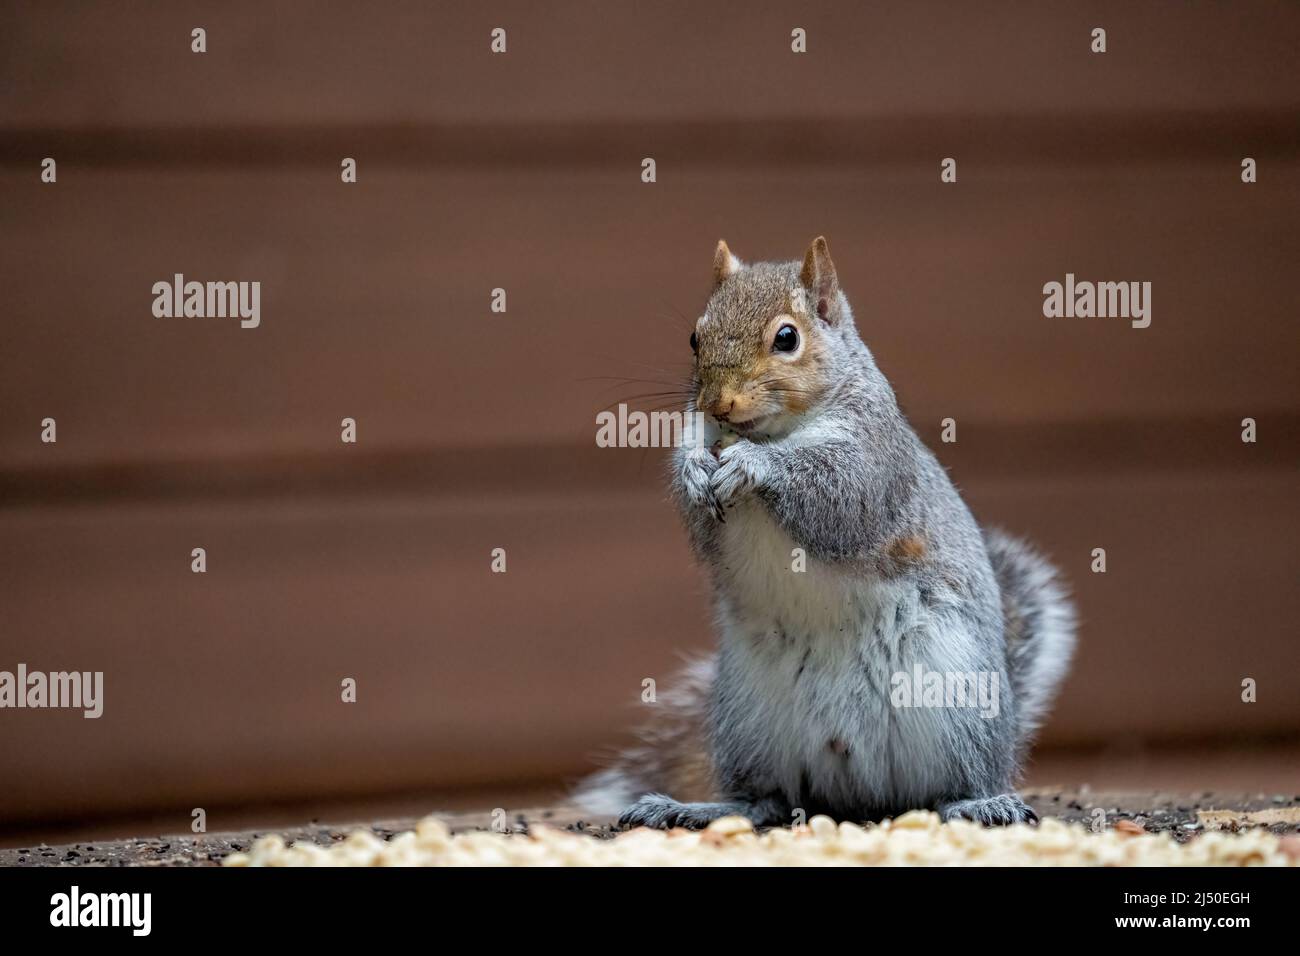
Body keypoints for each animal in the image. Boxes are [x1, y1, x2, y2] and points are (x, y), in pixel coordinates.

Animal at [576, 236, 1076, 828]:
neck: (775, 430)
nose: (717, 405)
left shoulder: (873, 455)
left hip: (958, 700)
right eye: (695, 337)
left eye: (787, 338)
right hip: (747, 717)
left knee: (953, 782)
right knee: (765, 797)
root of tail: (859, 788)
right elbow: (701, 512)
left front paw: (754, 465)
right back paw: (696, 809)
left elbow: (838, 497)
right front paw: (695, 471)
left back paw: (980, 801)